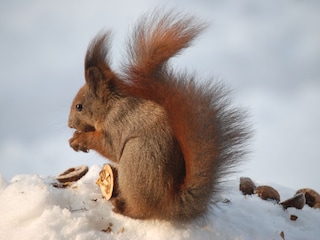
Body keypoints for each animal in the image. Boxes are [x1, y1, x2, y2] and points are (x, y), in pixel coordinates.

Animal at [69, 10, 251, 221]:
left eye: (79, 107)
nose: (70, 124)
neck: (110, 106)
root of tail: (167, 204)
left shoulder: (118, 123)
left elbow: (108, 146)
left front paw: (80, 139)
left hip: (135, 159)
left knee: (141, 211)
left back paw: (122, 208)